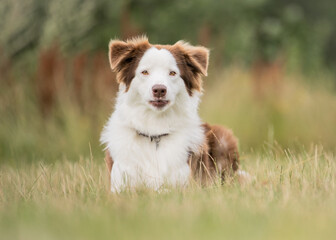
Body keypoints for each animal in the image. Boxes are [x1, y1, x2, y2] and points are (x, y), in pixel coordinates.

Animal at [100, 36, 242, 193]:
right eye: (145, 72)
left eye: (172, 73)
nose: (159, 90)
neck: (155, 132)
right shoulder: (119, 186)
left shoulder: (188, 184)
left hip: (223, 137)